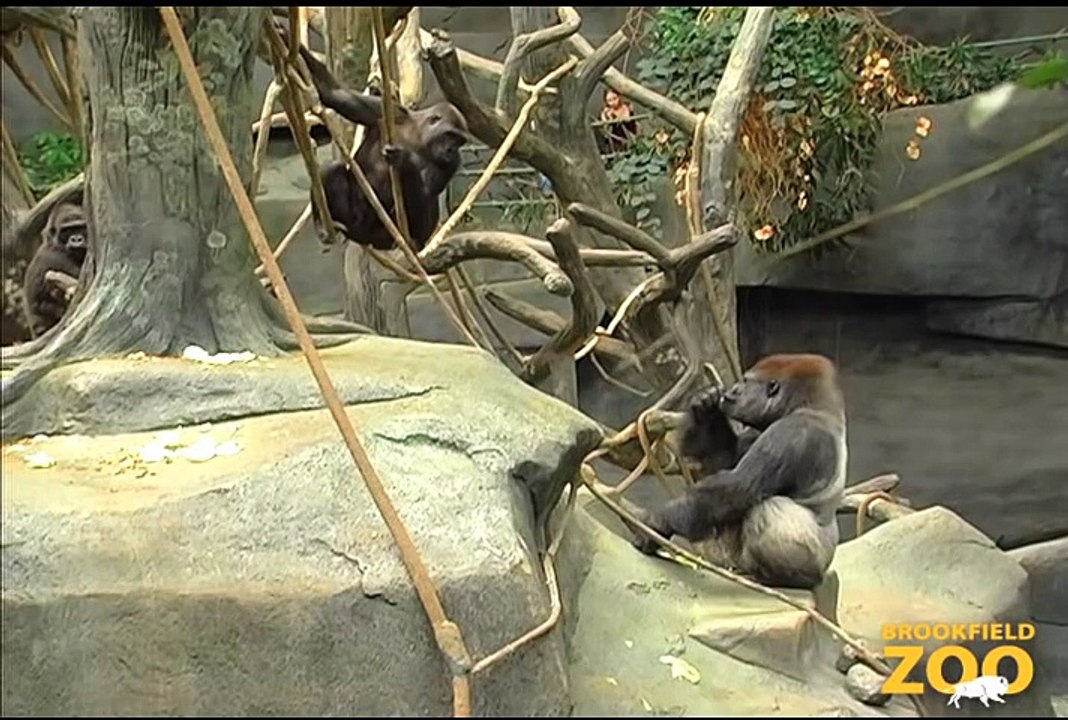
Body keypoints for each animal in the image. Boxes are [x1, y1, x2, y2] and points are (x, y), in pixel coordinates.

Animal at [293, 42, 470, 253]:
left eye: (459, 141)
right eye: (451, 136)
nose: (451, 150)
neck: (419, 136)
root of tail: (364, 238)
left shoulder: (452, 163)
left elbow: (427, 193)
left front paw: (404, 161)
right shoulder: (389, 111)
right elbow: (334, 94)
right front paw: (294, 47)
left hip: (383, 236)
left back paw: (411, 242)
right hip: (355, 224)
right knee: (332, 169)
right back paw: (324, 225)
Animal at [627, 353, 848, 590]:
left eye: (744, 381)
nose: (732, 391)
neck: (814, 406)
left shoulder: (791, 432)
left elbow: (735, 489)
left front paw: (656, 524)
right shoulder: (756, 431)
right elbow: (722, 463)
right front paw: (705, 409)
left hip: (814, 562)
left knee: (766, 508)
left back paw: (789, 577)